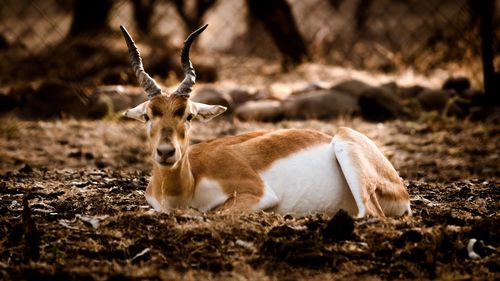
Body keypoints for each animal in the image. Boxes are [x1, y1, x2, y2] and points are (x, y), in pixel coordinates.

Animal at [120, 24, 410, 217]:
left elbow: (212, 213)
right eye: (147, 115)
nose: (166, 152)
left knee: (371, 215)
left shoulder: (257, 194)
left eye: (188, 115)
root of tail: (402, 190)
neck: (184, 186)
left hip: (347, 145)